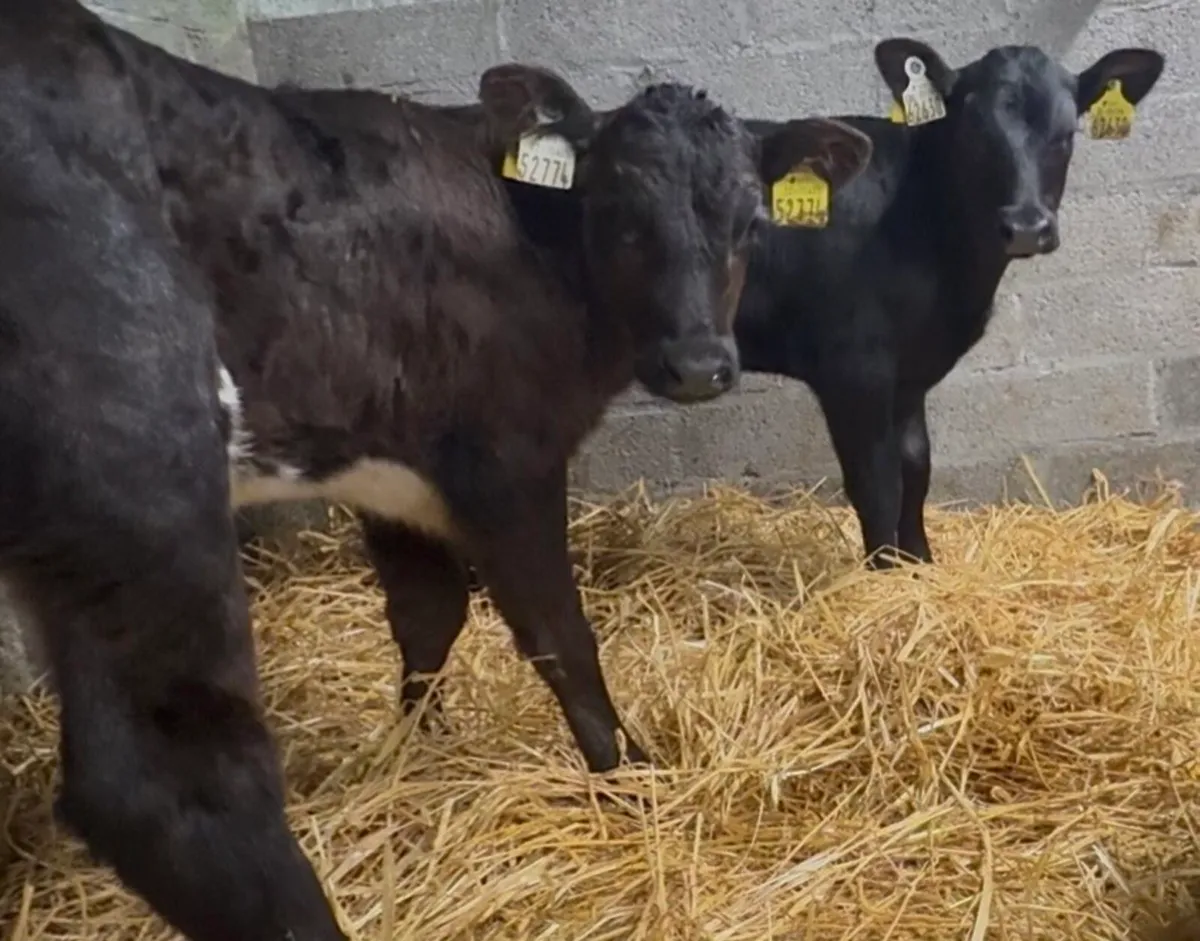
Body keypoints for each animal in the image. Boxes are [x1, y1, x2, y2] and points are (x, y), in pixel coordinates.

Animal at [0, 1, 873, 938]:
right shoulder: (508, 459)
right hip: (136, 468)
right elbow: (559, 633)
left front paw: (419, 741)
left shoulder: (390, 472)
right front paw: (628, 772)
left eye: (751, 223)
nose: (699, 366)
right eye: (620, 215)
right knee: (167, 776)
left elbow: (427, 615)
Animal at [734, 38, 1165, 567]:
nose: (1026, 226)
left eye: (1066, 134)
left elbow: (916, 468)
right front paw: (884, 573)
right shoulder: (852, 367)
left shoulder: (910, 376)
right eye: (973, 133)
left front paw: (919, 563)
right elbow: (877, 485)